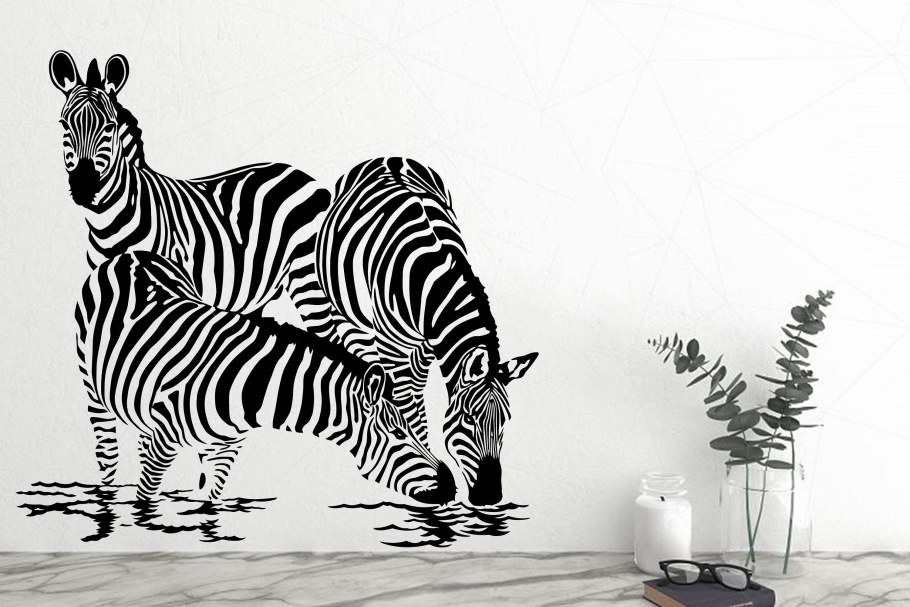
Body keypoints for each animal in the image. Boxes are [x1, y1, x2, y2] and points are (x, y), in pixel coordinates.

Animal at [49, 50, 335, 328]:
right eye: (64, 124)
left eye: (110, 126)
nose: (84, 186)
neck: (107, 222)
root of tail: (301, 175)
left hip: (307, 277)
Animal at [74, 251, 455, 505]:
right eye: (398, 434)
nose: (451, 486)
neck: (246, 389)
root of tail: (132, 254)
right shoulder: (164, 443)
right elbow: (145, 502)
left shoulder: (225, 450)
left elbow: (209, 505)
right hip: (93, 390)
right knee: (107, 455)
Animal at [304, 157, 538, 506]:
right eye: (469, 419)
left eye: (505, 422)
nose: (490, 496)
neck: (429, 283)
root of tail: (385, 157)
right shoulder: (393, 350)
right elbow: (409, 410)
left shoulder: (428, 350)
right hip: (346, 314)